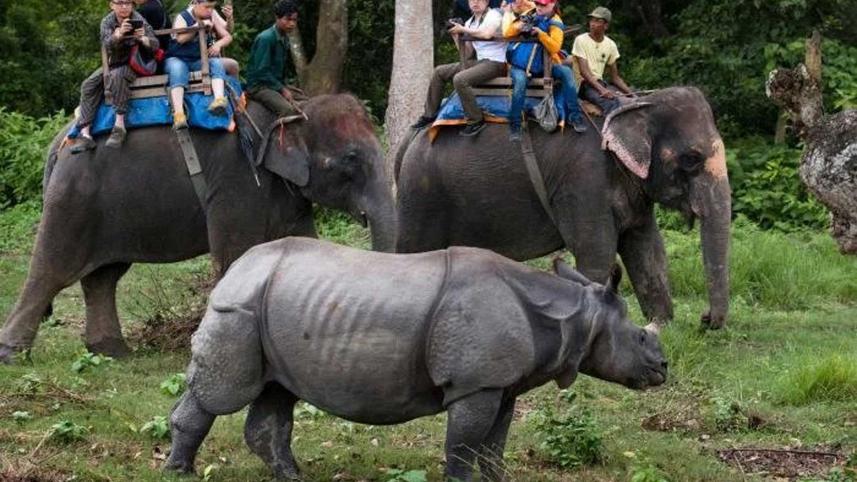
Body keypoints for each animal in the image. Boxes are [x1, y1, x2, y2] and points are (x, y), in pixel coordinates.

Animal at [0, 94, 395, 363]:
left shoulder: (287, 193)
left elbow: (303, 246)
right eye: (351, 159)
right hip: (74, 199)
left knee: (103, 276)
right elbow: (233, 255)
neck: (293, 106)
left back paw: (113, 351)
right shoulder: (236, 181)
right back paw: (14, 355)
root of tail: (58, 142)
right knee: (51, 269)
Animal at [164, 237, 667, 481]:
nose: (663, 368)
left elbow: (493, 446)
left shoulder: (501, 384)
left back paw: (291, 475)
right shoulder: (475, 384)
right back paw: (179, 472)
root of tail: (235, 267)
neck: (571, 316)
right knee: (222, 394)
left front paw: (496, 479)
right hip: (239, 309)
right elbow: (463, 445)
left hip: (272, 307)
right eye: (639, 338)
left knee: (276, 392)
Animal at [394, 86, 731, 329]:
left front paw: (661, 327)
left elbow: (647, 249)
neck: (633, 104)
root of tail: (412, 134)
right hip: (421, 194)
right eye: (691, 159)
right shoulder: (583, 181)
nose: (704, 319)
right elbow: (597, 256)